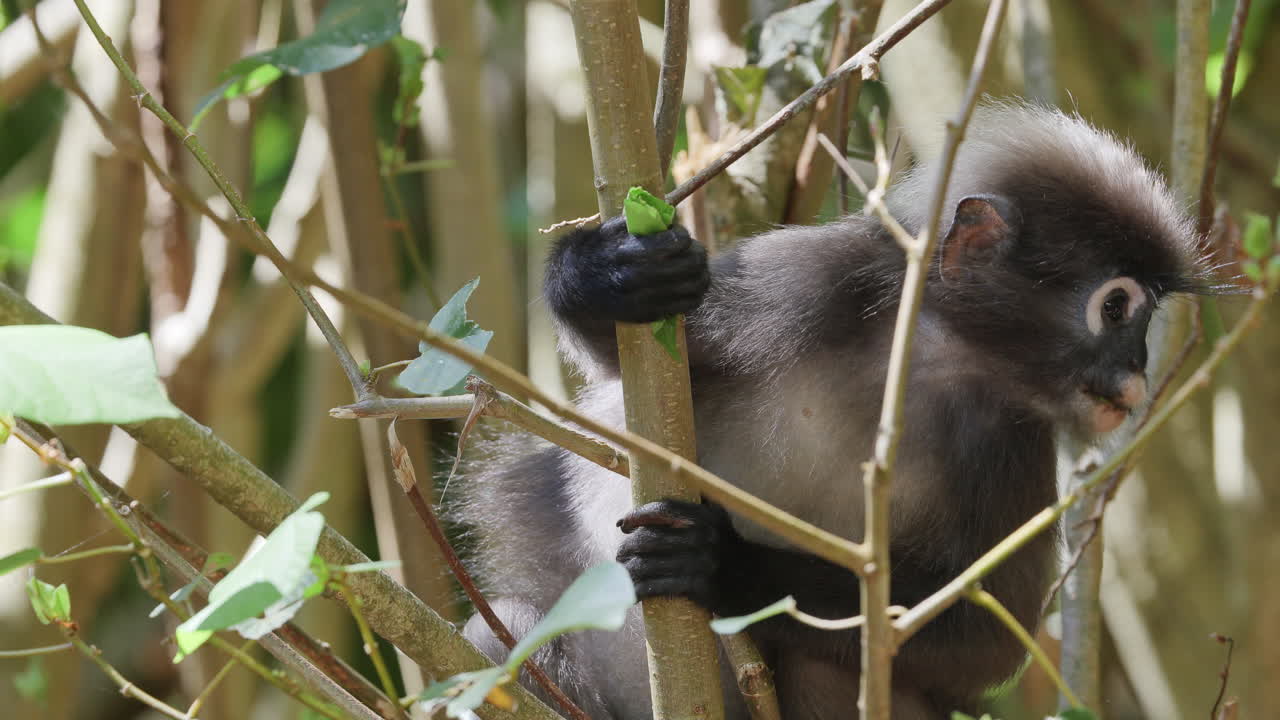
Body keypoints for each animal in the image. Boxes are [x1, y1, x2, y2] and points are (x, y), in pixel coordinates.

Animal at [456, 102, 1209, 719]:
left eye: (1143, 313)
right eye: (1117, 308)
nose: (1138, 370)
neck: (927, 355)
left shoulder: (1010, 441)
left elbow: (988, 634)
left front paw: (728, 568)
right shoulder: (811, 279)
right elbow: (628, 364)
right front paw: (606, 275)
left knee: (827, 665)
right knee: (499, 634)